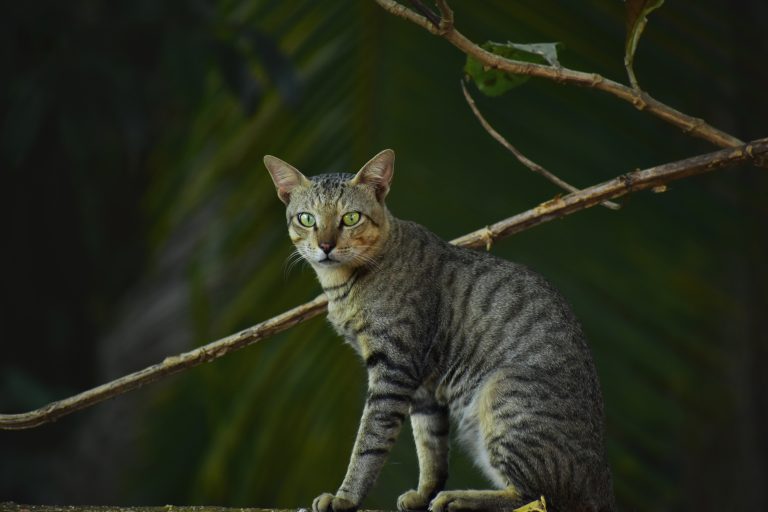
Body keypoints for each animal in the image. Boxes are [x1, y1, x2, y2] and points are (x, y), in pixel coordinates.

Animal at [264, 149, 616, 512]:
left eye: (350, 218)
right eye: (306, 219)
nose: (325, 245)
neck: (343, 286)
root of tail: (602, 480)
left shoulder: (394, 367)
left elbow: (369, 443)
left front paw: (345, 497)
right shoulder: (423, 387)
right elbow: (431, 449)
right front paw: (423, 494)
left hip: (503, 396)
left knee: (534, 496)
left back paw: (459, 498)